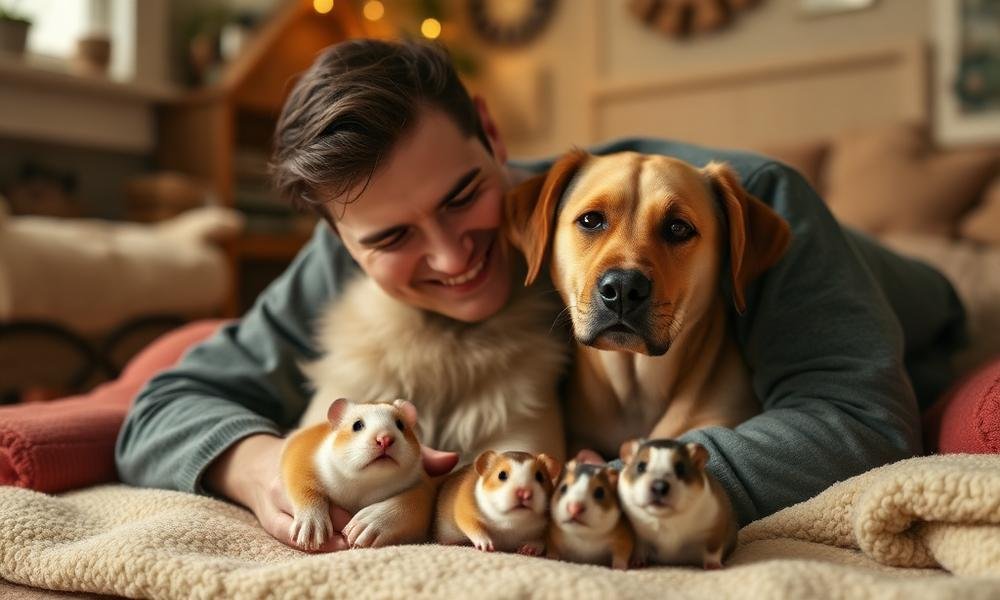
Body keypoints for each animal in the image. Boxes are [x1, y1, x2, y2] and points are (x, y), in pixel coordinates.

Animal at [281, 397, 425, 550]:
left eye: (400, 425)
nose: (385, 439)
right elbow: (302, 482)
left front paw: (372, 522)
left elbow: (410, 503)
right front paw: (311, 522)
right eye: (357, 425)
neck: (364, 482)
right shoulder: (300, 451)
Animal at [617, 438, 737, 569]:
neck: (665, 520)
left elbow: (712, 551)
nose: (659, 487)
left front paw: (713, 566)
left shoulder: (715, 528)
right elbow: (639, 550)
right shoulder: (638, 537)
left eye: (680, 468)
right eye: (641, 466)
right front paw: (636, 563)